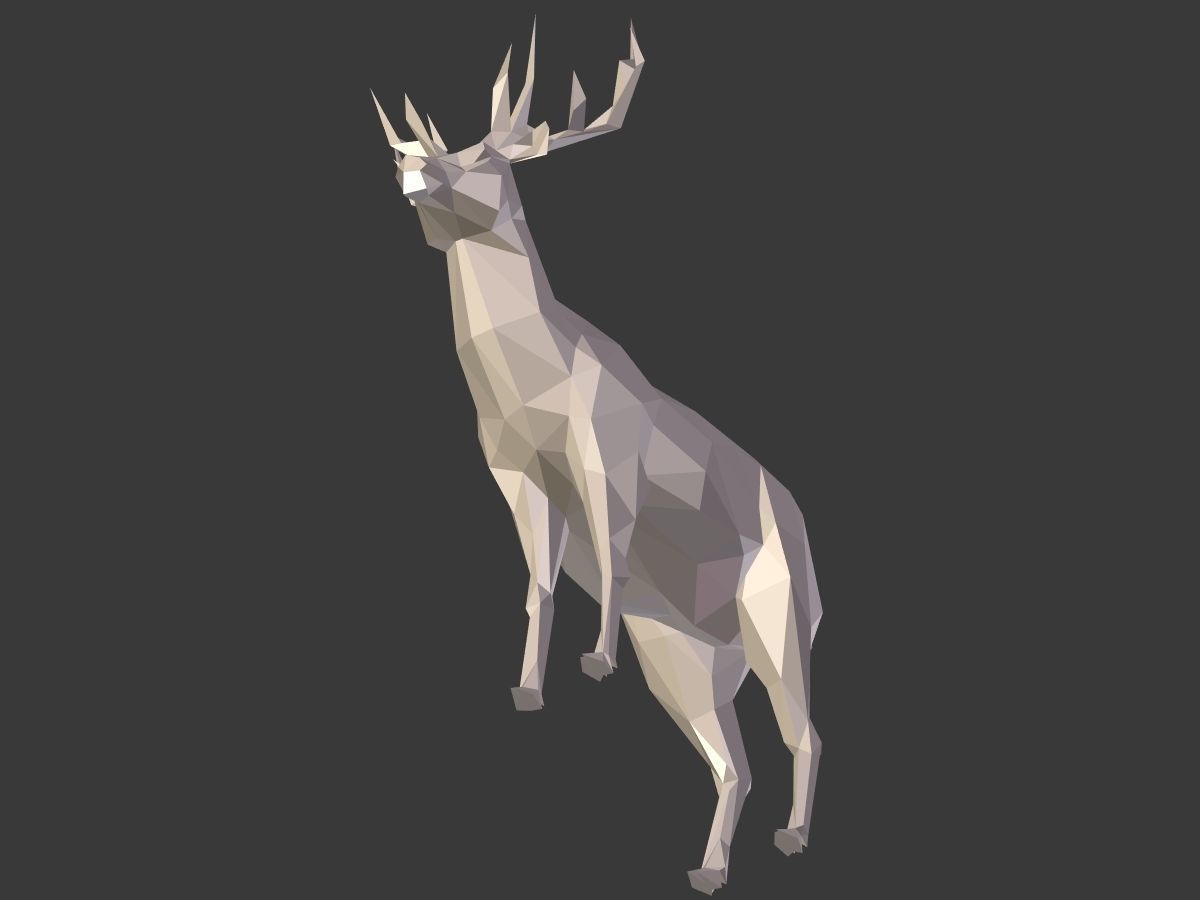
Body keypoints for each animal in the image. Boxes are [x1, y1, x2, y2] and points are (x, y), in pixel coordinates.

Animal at [372, 20, 823, 895]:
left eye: (486, 160)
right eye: (443, 149)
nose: (410, 168)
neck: (532, 392)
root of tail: (818, 572)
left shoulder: (604, 457)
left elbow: (612, 549)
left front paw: (597, 657)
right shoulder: (515, 474)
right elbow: (540, 584)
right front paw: (527, 687)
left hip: (777, 619)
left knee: (806, 733)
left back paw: (793, 839)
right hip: (688, 654)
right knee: (733, 763)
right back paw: (708, 869)